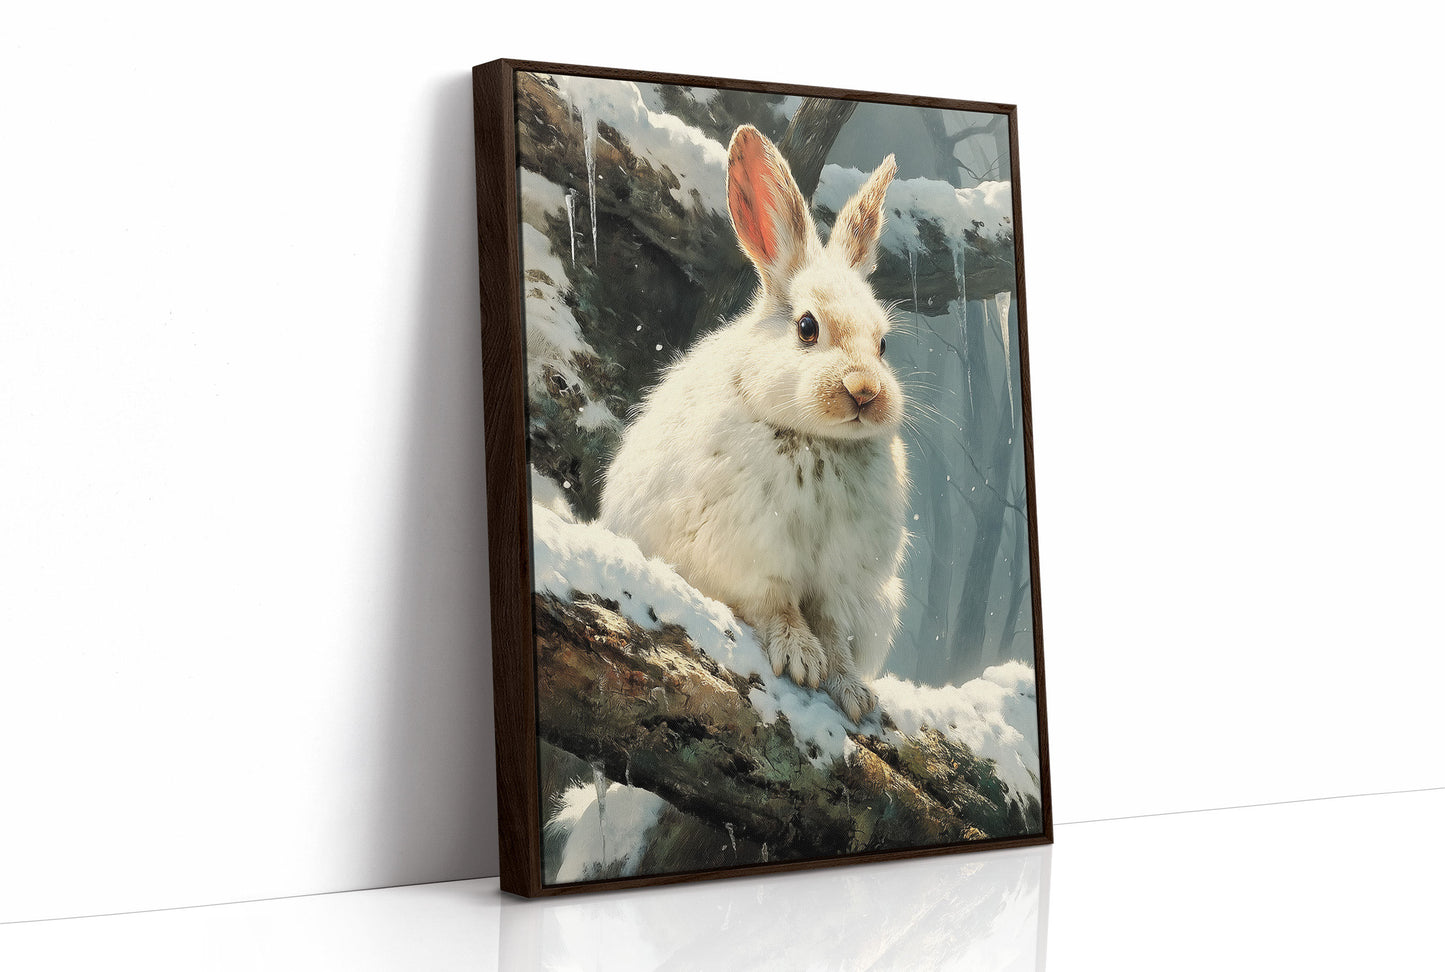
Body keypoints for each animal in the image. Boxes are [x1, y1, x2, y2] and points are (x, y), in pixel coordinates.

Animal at [598, 124, 908, 723]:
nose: (865, 391)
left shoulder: (841, 584)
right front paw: (801, 660)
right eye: (807, 327)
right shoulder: (752, 556)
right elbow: (778, 607)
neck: (816, 440)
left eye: (883, 344)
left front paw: (852, 691)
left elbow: (834, 634)